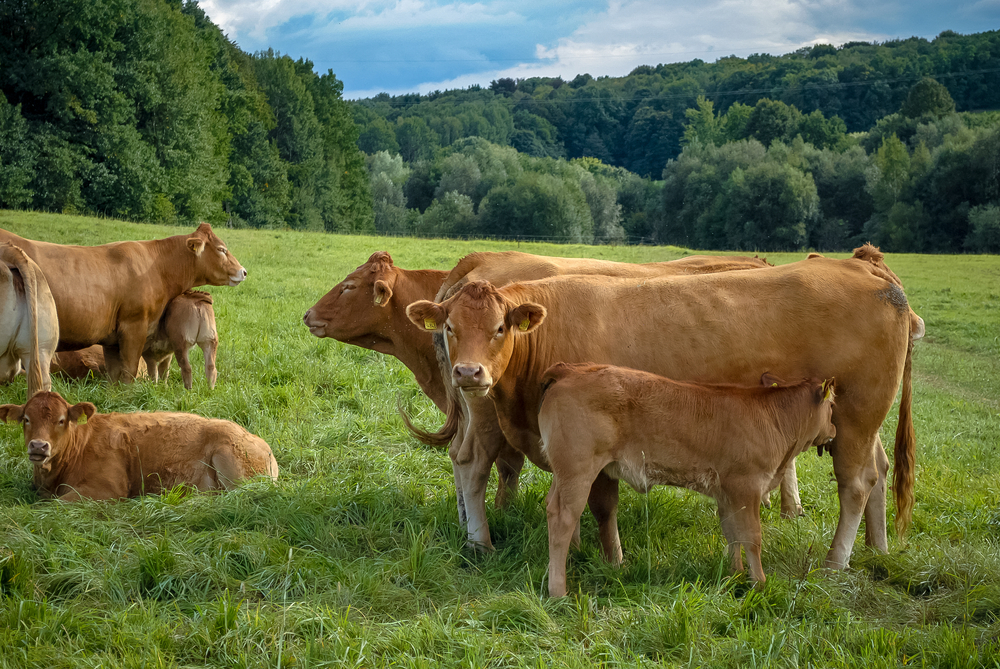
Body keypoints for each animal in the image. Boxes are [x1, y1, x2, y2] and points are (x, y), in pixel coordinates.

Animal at [404, 247, 916, 571]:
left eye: (499, 328)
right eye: (449, 327)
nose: (468, 373)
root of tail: (868, 271)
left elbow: (597, 502)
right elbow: (594, 503)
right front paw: (605, 557)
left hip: (858, 413)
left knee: (857, 482)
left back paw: (835, 562)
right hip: (858, 422)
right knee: (877, 470)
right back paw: (877, 550)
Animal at [539, 363, 837, 596]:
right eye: (833, 405)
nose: (834, 430)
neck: (775, 419)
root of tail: (571, 369)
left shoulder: (726, 493)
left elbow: (732, 534)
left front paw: (735, 575)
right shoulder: (746, 486)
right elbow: (752, 537)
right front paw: (760, 583)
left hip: (564, 471)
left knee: (551, 506)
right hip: (578, 468)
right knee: (563, 517)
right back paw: (559, 591)